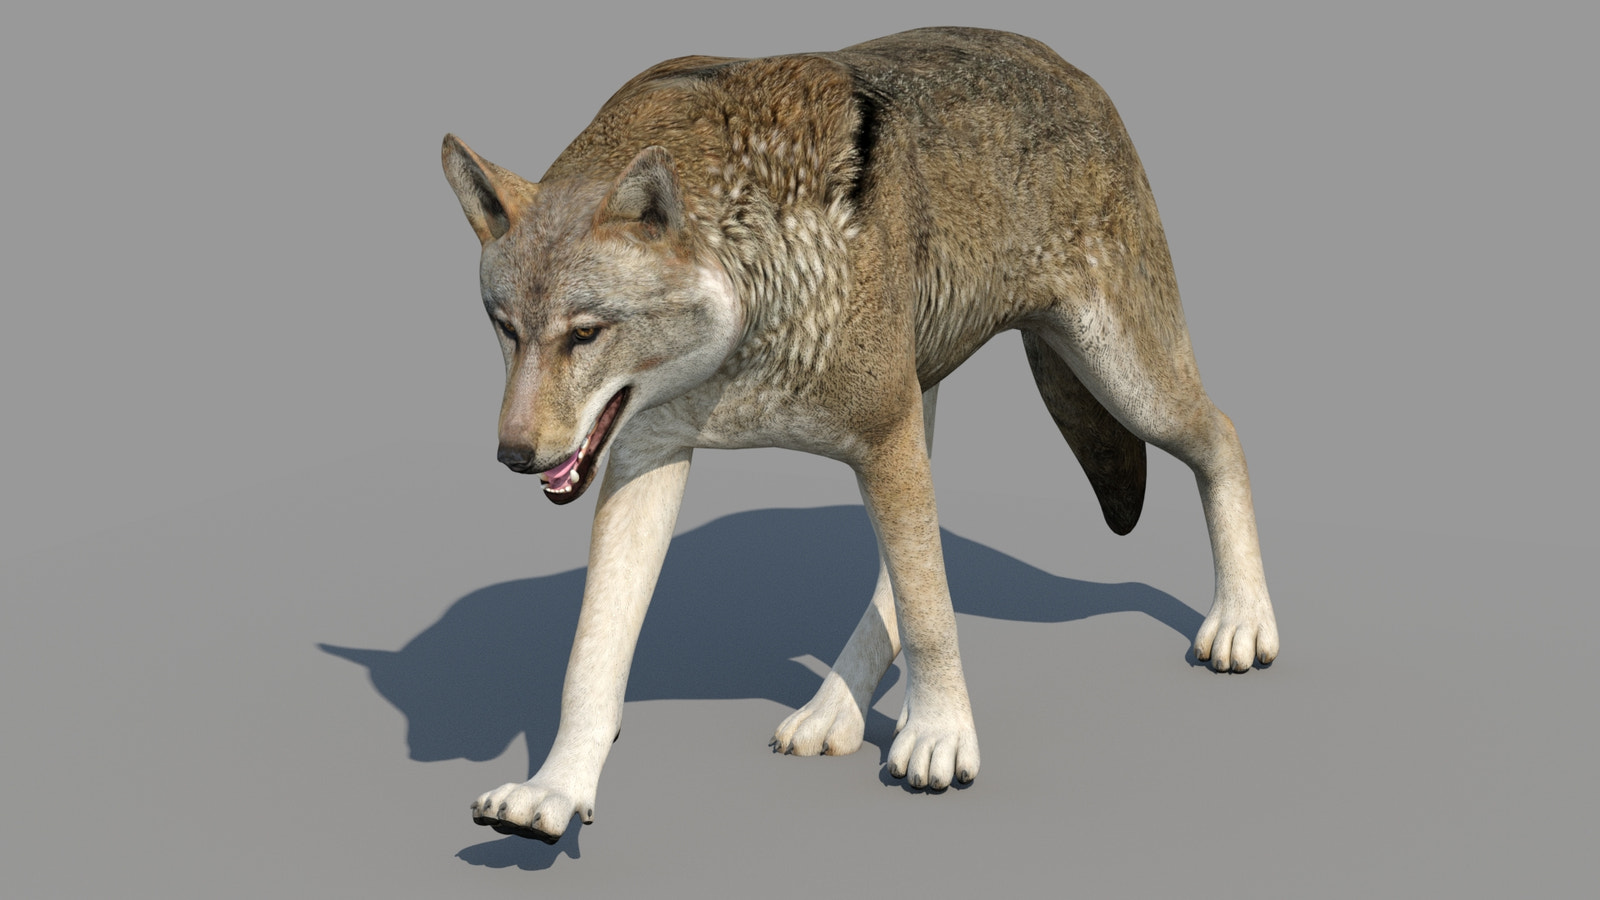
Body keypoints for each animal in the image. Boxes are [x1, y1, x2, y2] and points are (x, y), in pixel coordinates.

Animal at [441, 26, 1279, 843]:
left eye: (585, 333)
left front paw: (940, 736)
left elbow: (931, 611)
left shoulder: (880, 435)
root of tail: (1069, 66)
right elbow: (592, 659)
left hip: (1122, 384)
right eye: (506, 328)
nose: (514, 456)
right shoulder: (649, 455)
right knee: (901, 569)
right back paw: (832, 713)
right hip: (931, 405)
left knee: (1225, 433)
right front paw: (555, 790)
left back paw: (1242, 620)